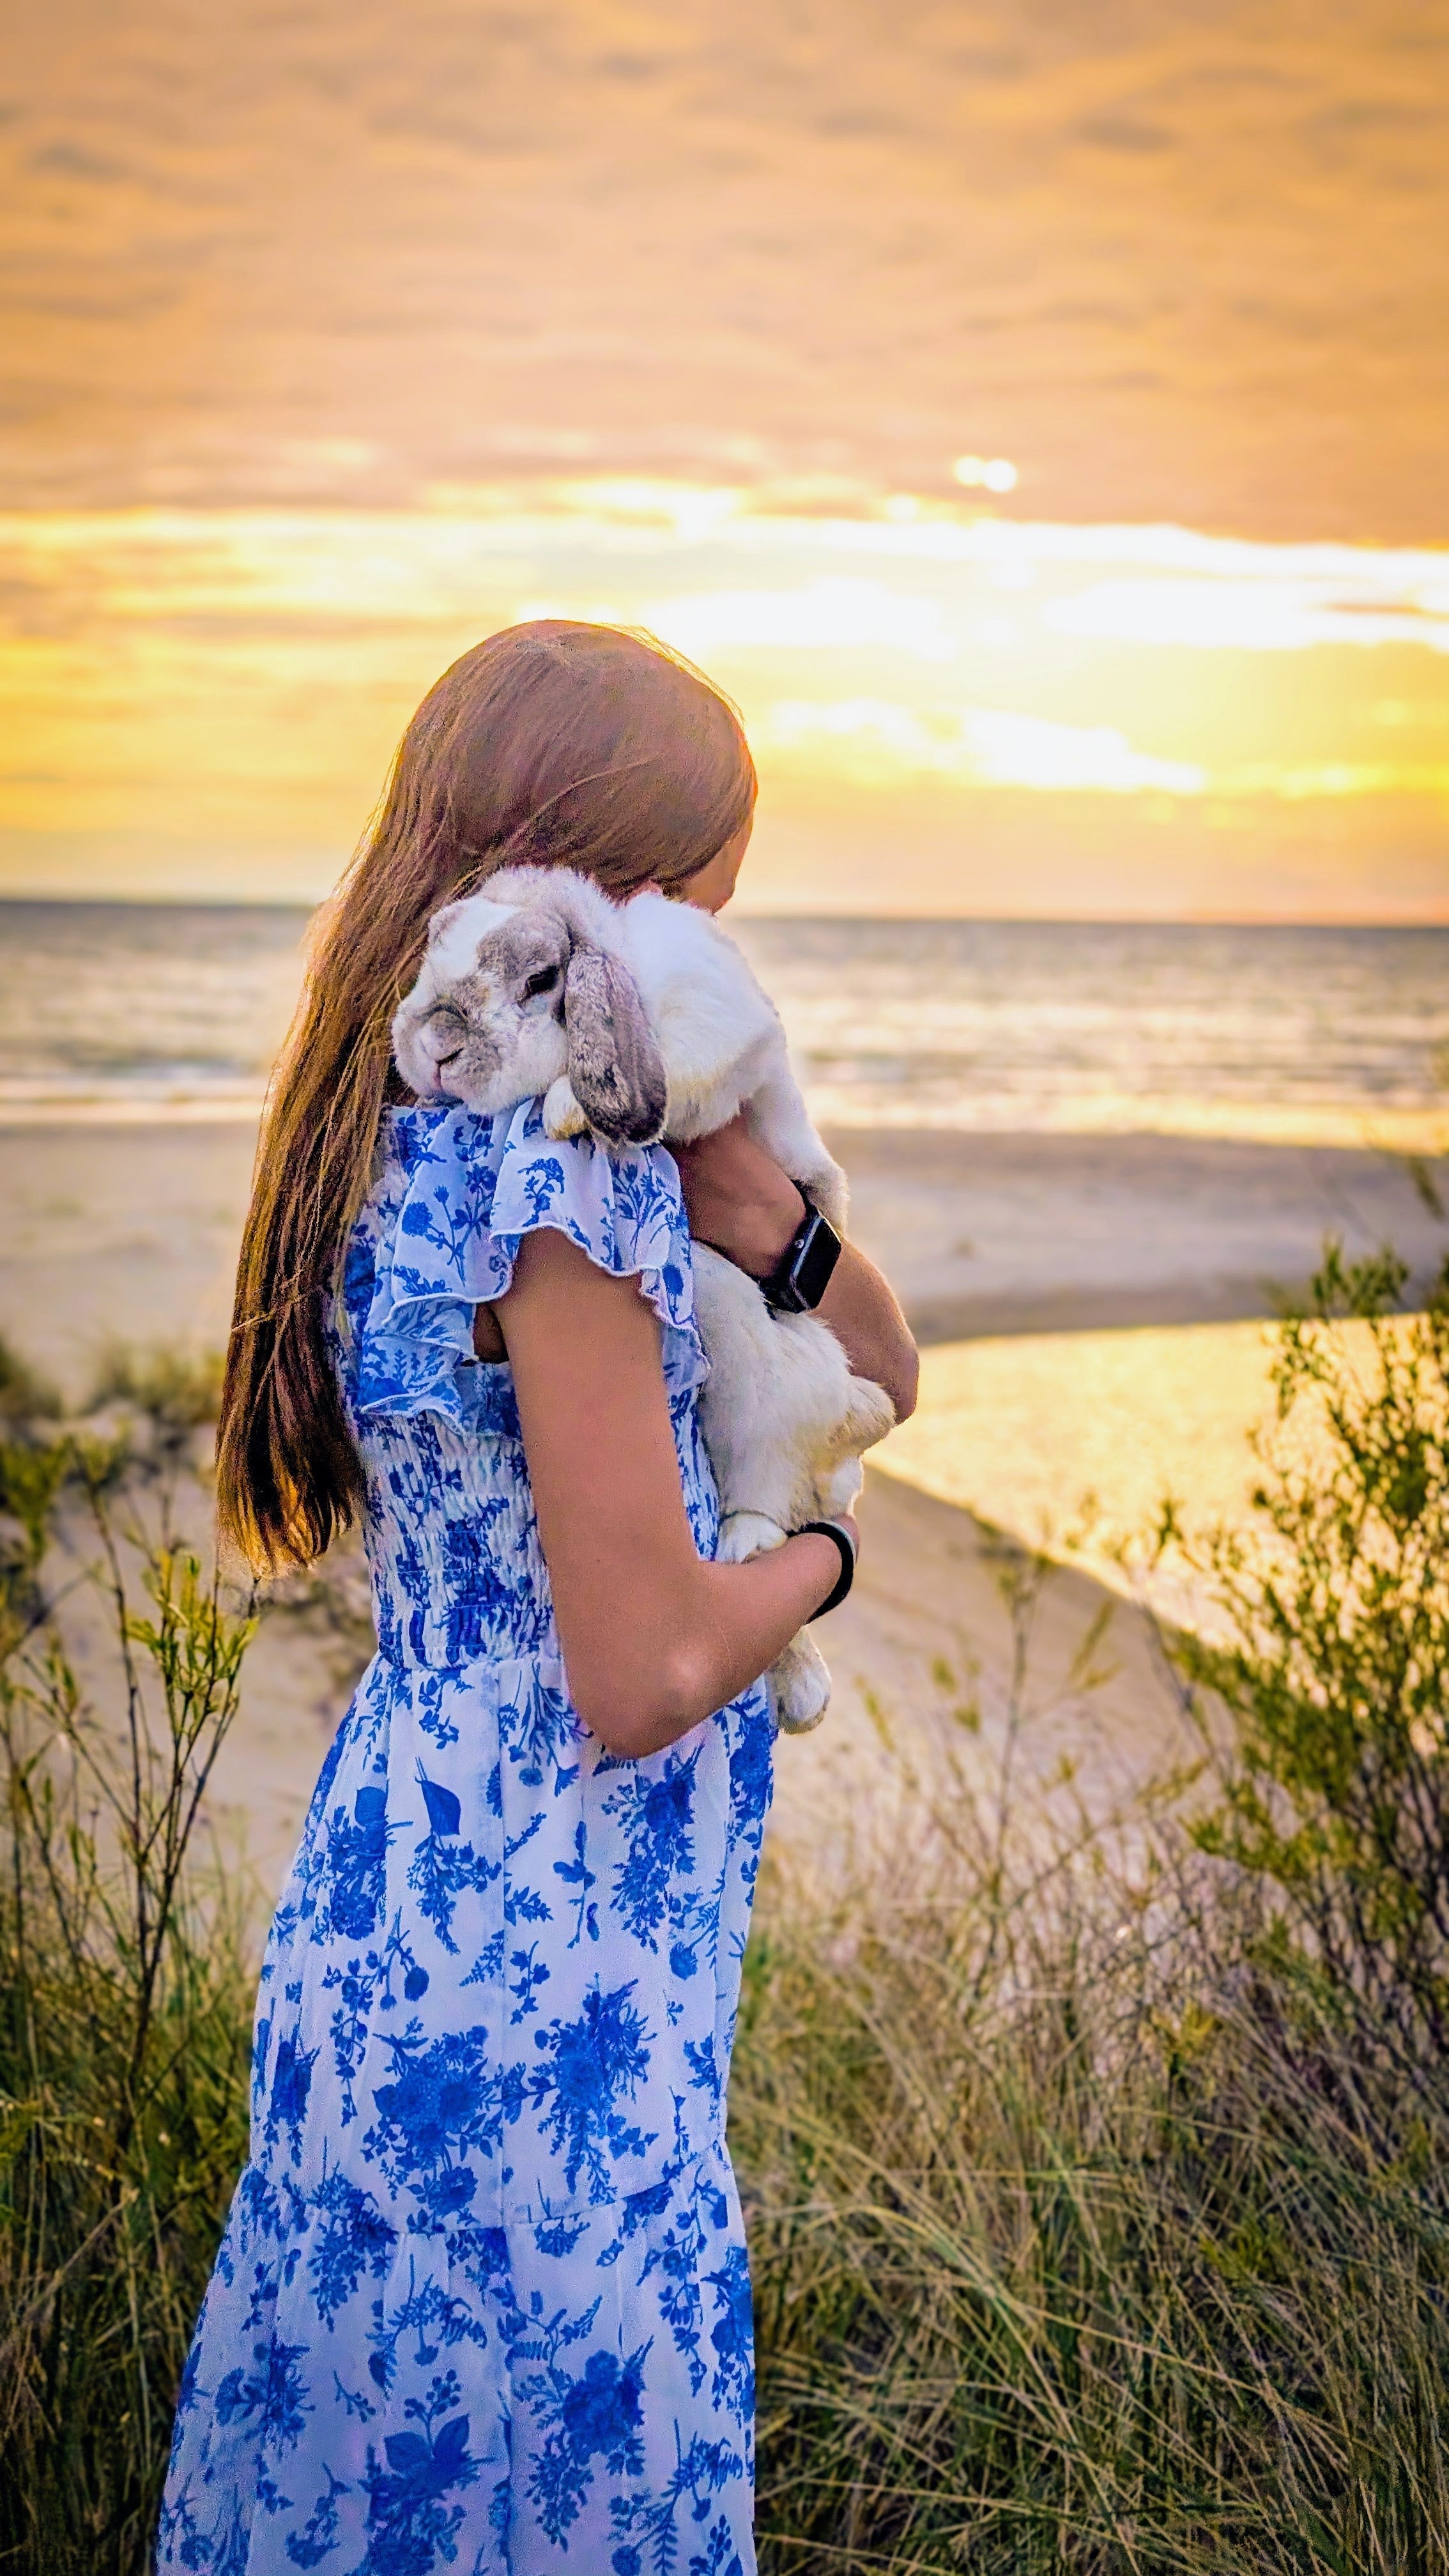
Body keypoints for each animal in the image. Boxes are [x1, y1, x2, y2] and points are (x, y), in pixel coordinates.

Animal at [391, 865, 896, 1732]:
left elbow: (679, 1070)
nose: (436, 1047)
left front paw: (564, 1109)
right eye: (431, 953)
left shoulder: (715, 1033)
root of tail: (850, 1407)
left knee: (771, 1489)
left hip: (763, 1381)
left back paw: (750, 1554)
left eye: (542, 980)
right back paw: (802, 1691)